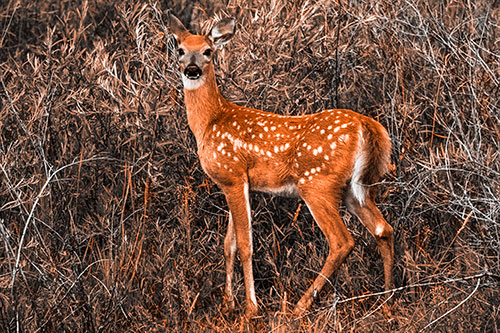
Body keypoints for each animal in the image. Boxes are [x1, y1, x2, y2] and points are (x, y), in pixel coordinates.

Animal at [170, 14, 396, 316]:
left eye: (208, 51)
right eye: (180, 49)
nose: (192, 70)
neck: (209, 122)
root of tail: (367, 125)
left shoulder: (232, 174)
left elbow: (245, 244)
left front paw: (250, 308)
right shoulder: (234, 182)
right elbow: (228, 244)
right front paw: (228, 302)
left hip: (317, 183)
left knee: (342, 241)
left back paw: (300, 306)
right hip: (356, 188)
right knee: (383, 229)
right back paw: (387, 300)